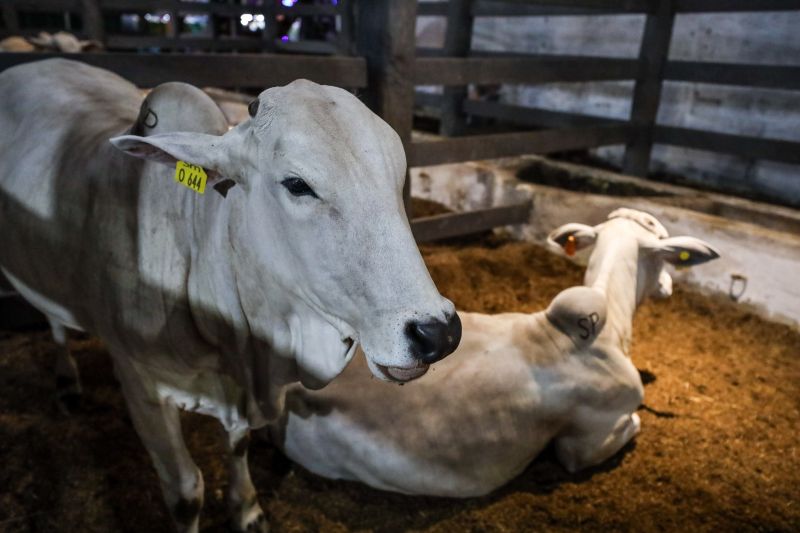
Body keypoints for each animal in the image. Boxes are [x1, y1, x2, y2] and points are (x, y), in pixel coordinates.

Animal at [0, 60, 462, 528]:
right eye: (297, 184)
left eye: (397, 176)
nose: (437, 333)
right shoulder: (140, 384)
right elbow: (186, 492)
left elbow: (238, 443)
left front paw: (247, 509)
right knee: (55, 320)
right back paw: (66, 383)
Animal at [270, 207, 720, 494]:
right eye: (665, 253)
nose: (668, 287)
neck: (608, 330)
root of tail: (296, 389)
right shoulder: (588, 441)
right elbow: (631, 426)